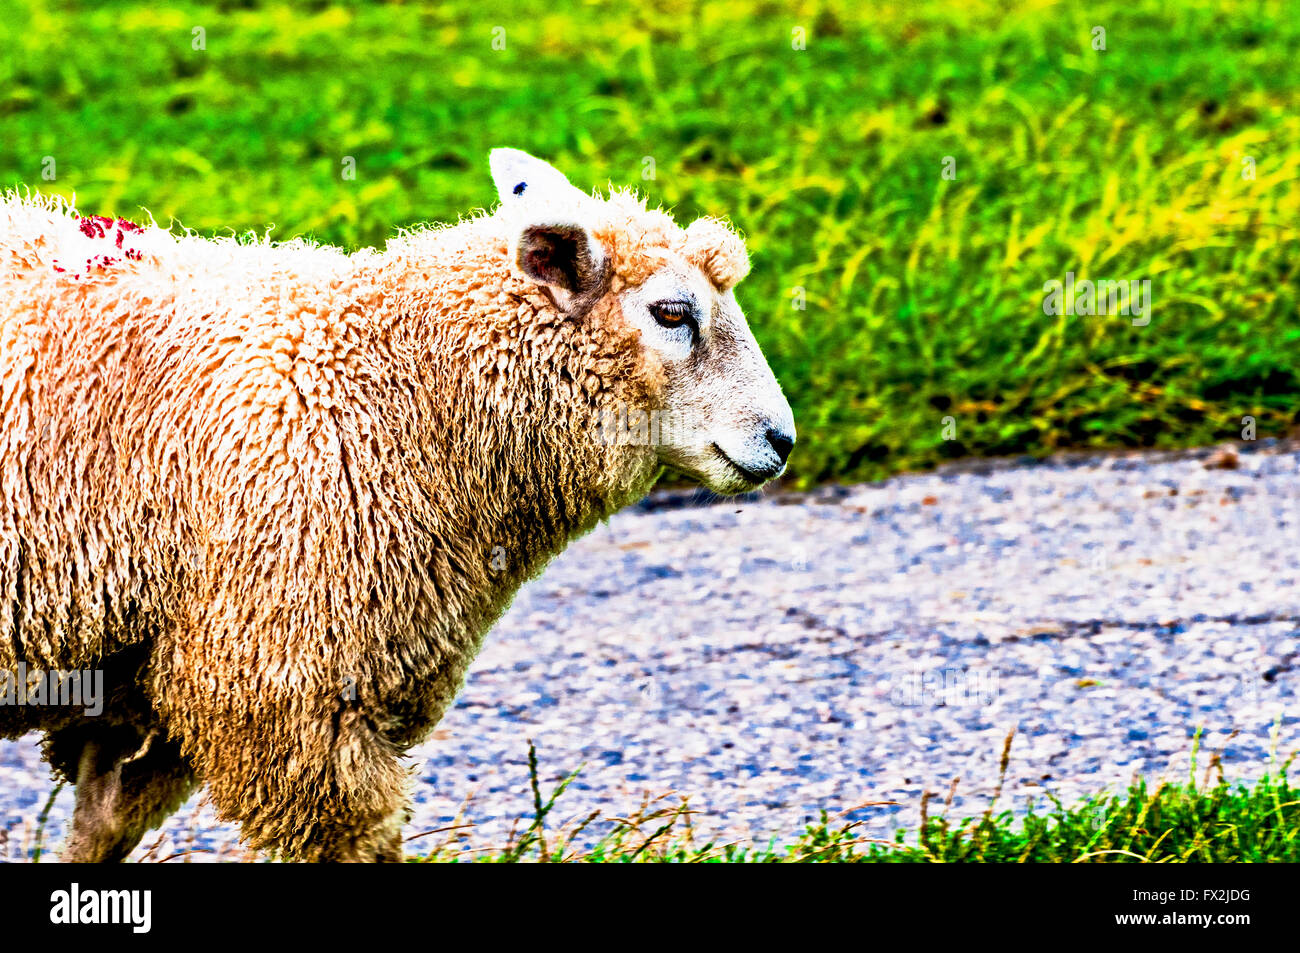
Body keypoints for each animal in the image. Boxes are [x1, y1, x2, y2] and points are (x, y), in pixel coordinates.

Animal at [0, 150, 795, 863]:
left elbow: (102, 826)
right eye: (671, 312)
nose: (781, 440)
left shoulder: (159, 680)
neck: (400, 393)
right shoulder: (280, 692)